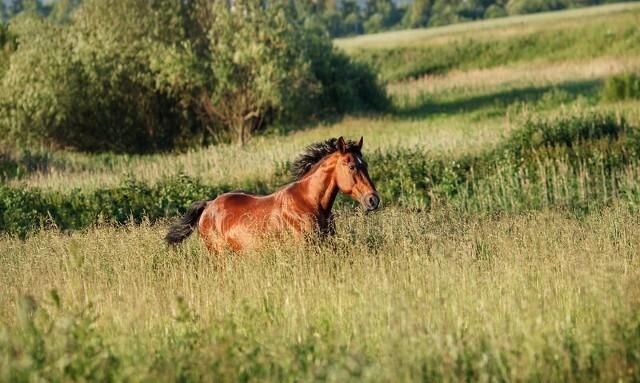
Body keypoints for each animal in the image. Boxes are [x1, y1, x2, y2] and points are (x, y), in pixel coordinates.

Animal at [165, 136, 382, 254]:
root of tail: (209, 205)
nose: (373, 200)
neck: (309, 202)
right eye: (352, 166)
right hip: (219, 255)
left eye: (365, 164)